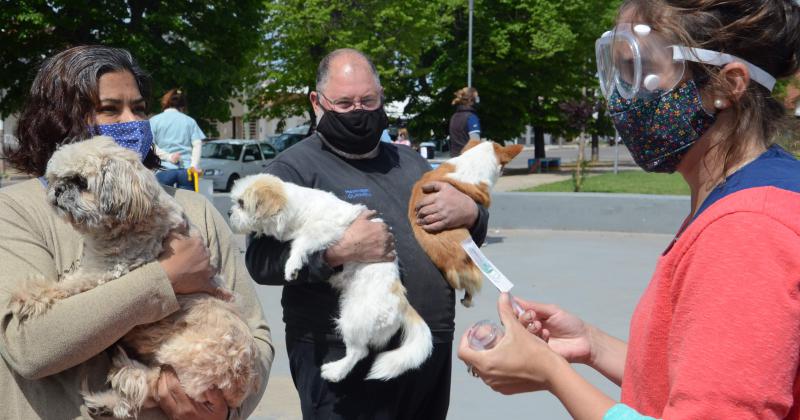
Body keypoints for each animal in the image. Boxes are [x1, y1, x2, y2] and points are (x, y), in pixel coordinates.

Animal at [228, 172, 434, 382]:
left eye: (242, 203)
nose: (229, 213)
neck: (299, 209)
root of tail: (402, 303)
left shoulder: (324, 230)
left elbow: (301, 242)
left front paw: (292, 265)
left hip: (352, 319)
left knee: (359, 352)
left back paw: (335, 371)